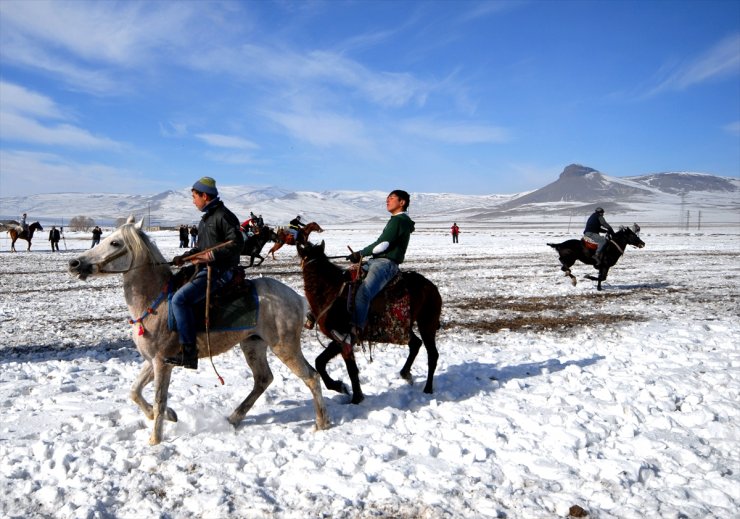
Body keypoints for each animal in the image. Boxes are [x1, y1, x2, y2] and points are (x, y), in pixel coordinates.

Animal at [68, 215, 330, 446]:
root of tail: (297, 298)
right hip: (253, 344)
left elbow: (159, 399)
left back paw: (321, 423)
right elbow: (134, 391)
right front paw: (167, 415)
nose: (75, 263)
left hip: (284, 347)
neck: (156, 301)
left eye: (115, 242)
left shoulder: (162, 362)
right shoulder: (152, 360)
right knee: (263, 379)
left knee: (311, 377)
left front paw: (155, 439)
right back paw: (234, 418)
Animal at [298, 241, 442, 406]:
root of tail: (432, 287)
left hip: (427, 325)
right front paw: (340, 387)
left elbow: (350, 369)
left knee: (432, 355)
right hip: (404, 329)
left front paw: (355, 398)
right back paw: (405, 373)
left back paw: (428, 388)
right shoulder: (338, 340)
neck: (330, 293)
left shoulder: (345, 338)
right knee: (416, 344)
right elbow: (320, 362)